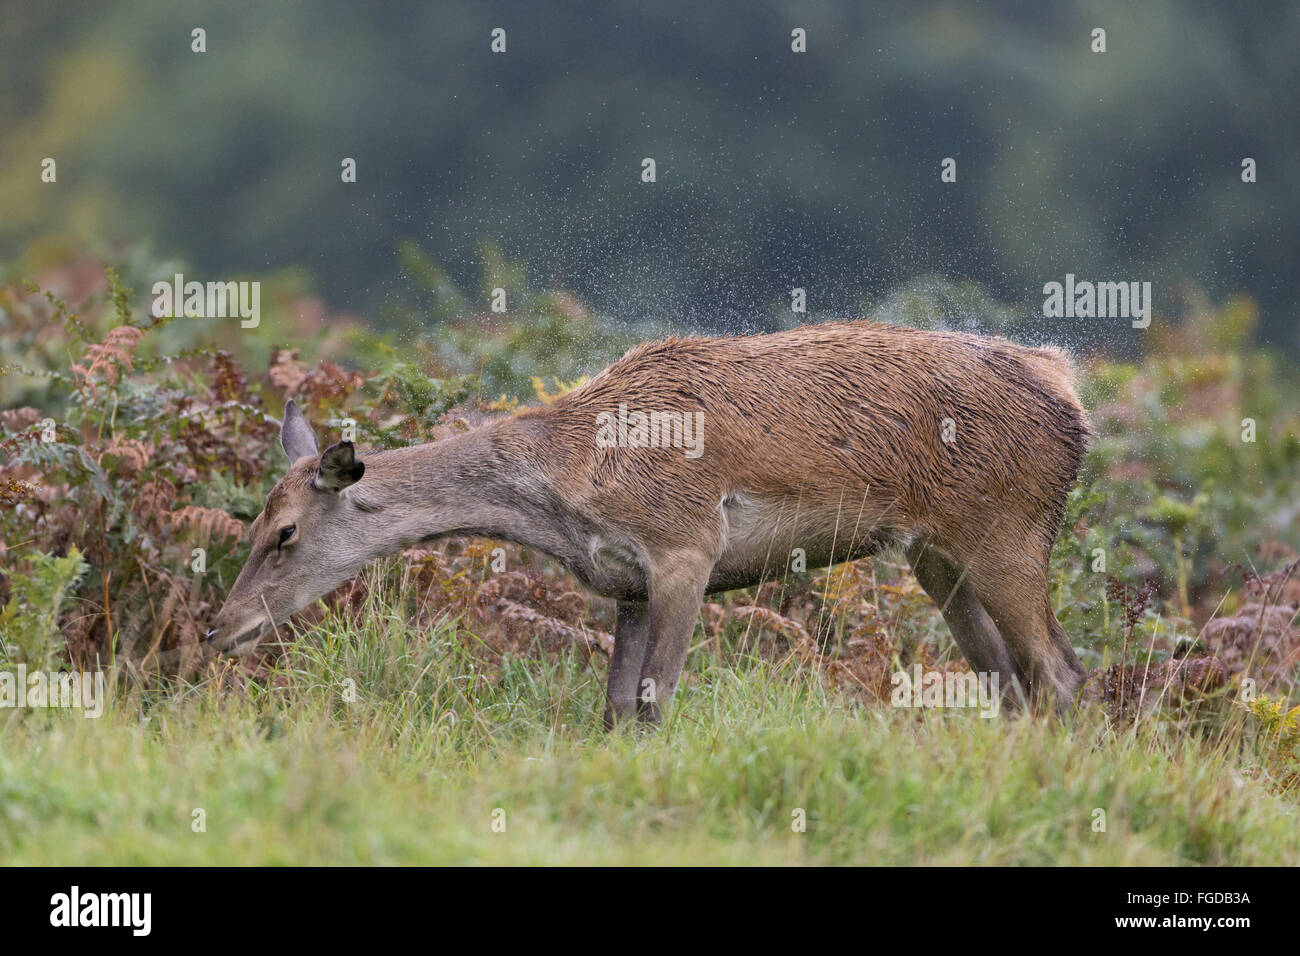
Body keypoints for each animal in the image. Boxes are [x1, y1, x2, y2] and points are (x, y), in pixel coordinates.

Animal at [206, 320, 1091, 725]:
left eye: (283, 533)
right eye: (252, 525)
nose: (221, 627)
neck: (561, 488)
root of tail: (1070, 390)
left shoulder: (684, 547)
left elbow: (655, 699)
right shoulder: (625, 582)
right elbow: (612, 709)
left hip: (1010, 531)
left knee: (1061, 672)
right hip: (936, 556)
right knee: (1009, 681)